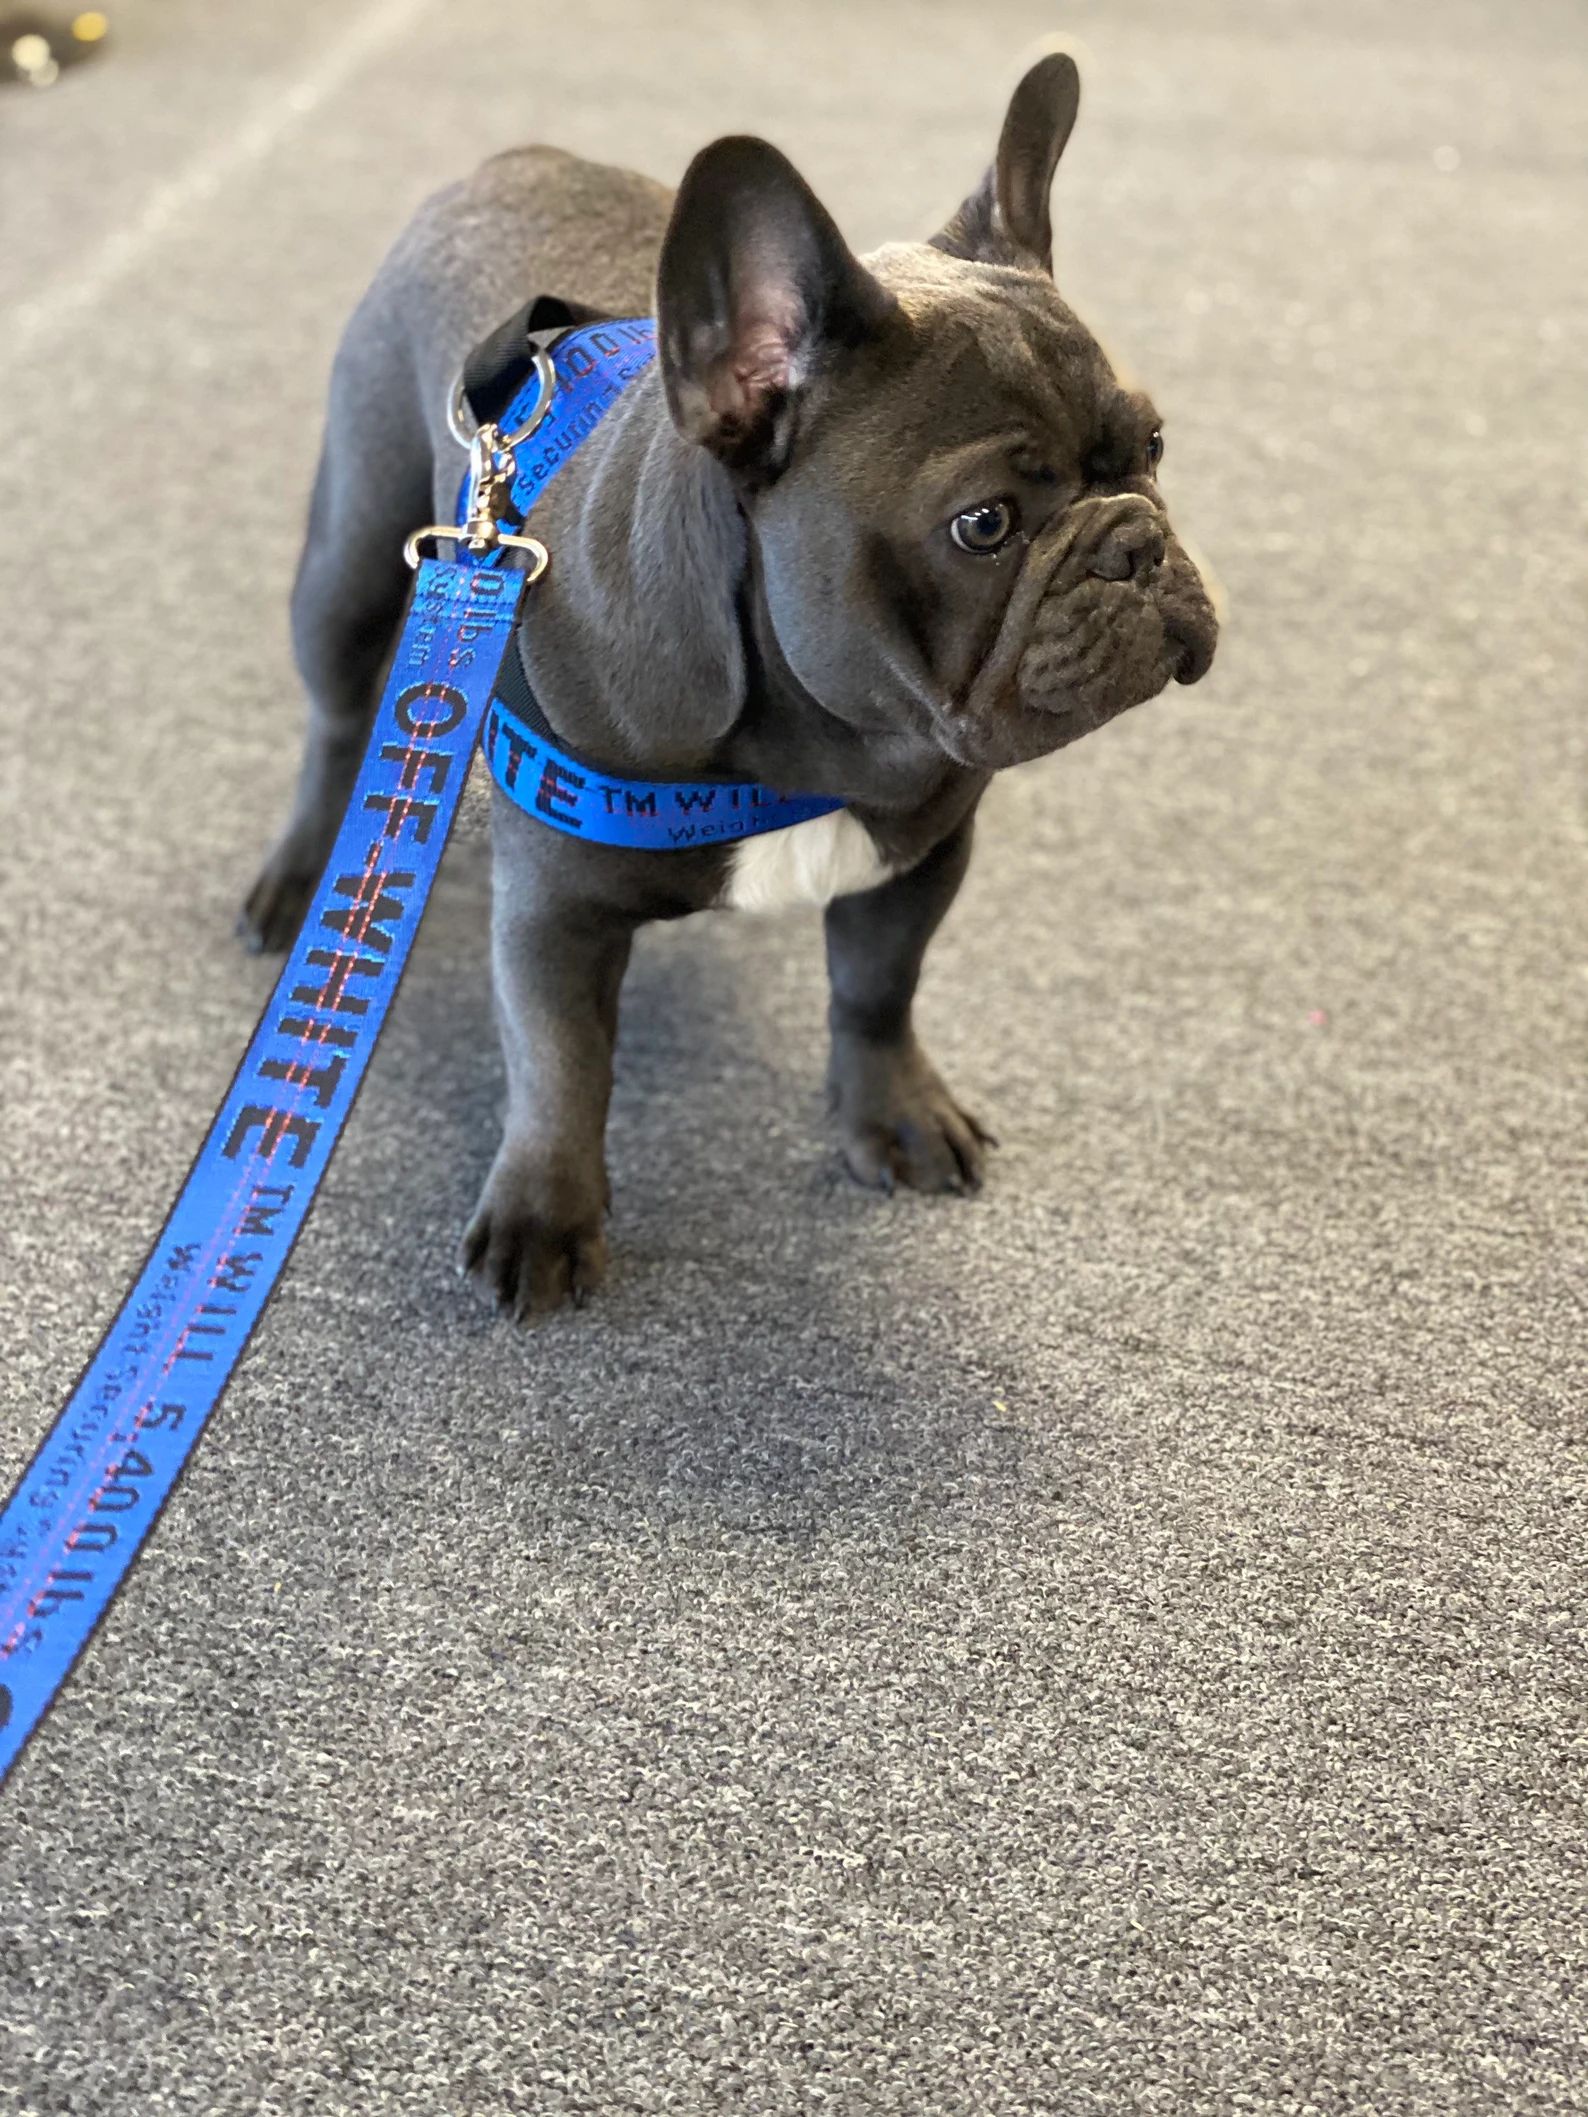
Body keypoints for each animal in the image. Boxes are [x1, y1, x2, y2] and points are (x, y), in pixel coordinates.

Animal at [242, 57, 1228, 1321]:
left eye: (1151, 447)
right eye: (985, 525)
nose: (1134, 547)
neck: (821, 742)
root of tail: (510, 163)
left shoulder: (921, 853)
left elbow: (878, 988)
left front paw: (893, 1113)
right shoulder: (554, 910)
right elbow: (559, 1064)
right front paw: (544, 1214)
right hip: (354, 550)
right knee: (335, 714)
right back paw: (301, 872)